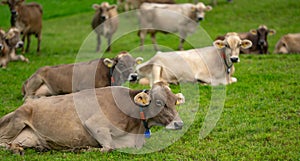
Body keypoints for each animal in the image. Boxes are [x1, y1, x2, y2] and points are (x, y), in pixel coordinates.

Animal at [0, 82, 185, 154]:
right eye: (160, 102)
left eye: (175, 102)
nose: (179, 124)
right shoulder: (95, 124)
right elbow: (109, 147)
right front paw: (84, 149)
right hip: (18, 119)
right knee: (3, 142)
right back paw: (14, 149)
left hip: (29, 136)